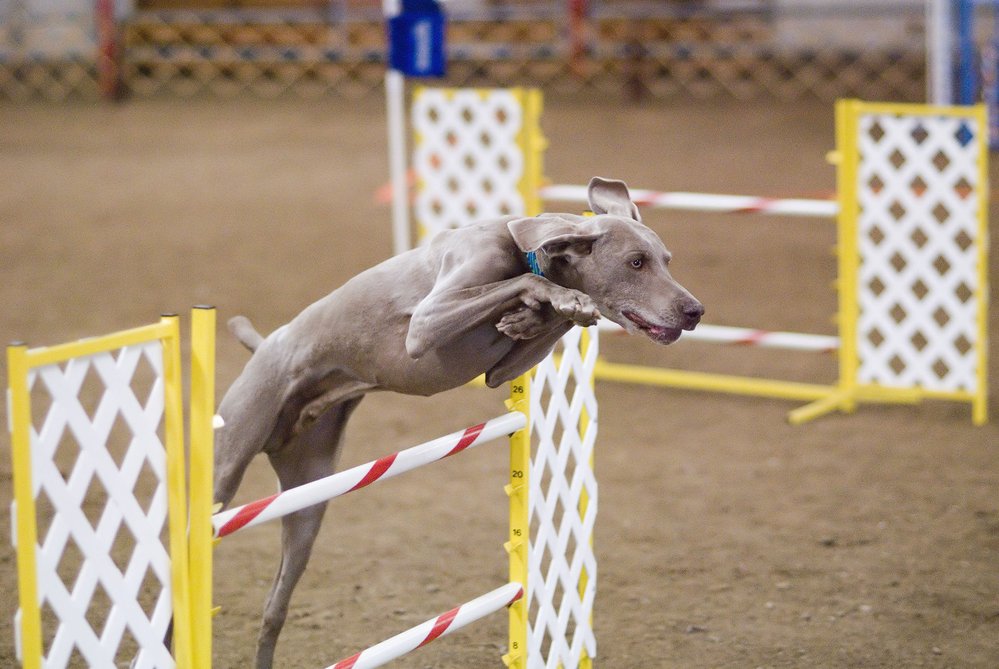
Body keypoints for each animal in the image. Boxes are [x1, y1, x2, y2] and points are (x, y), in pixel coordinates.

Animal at [217, 175, 704, 664]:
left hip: (307, 503)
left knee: (273, 611)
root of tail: (264, 345)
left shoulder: (502, 371)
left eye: (666, 260)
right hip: (230, 464)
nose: (695, 310)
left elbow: (537, 320)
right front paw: (556, 298)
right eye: (636, 262)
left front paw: (537, 314)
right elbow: (525, 282)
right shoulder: (426, 322)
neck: (524, 250)